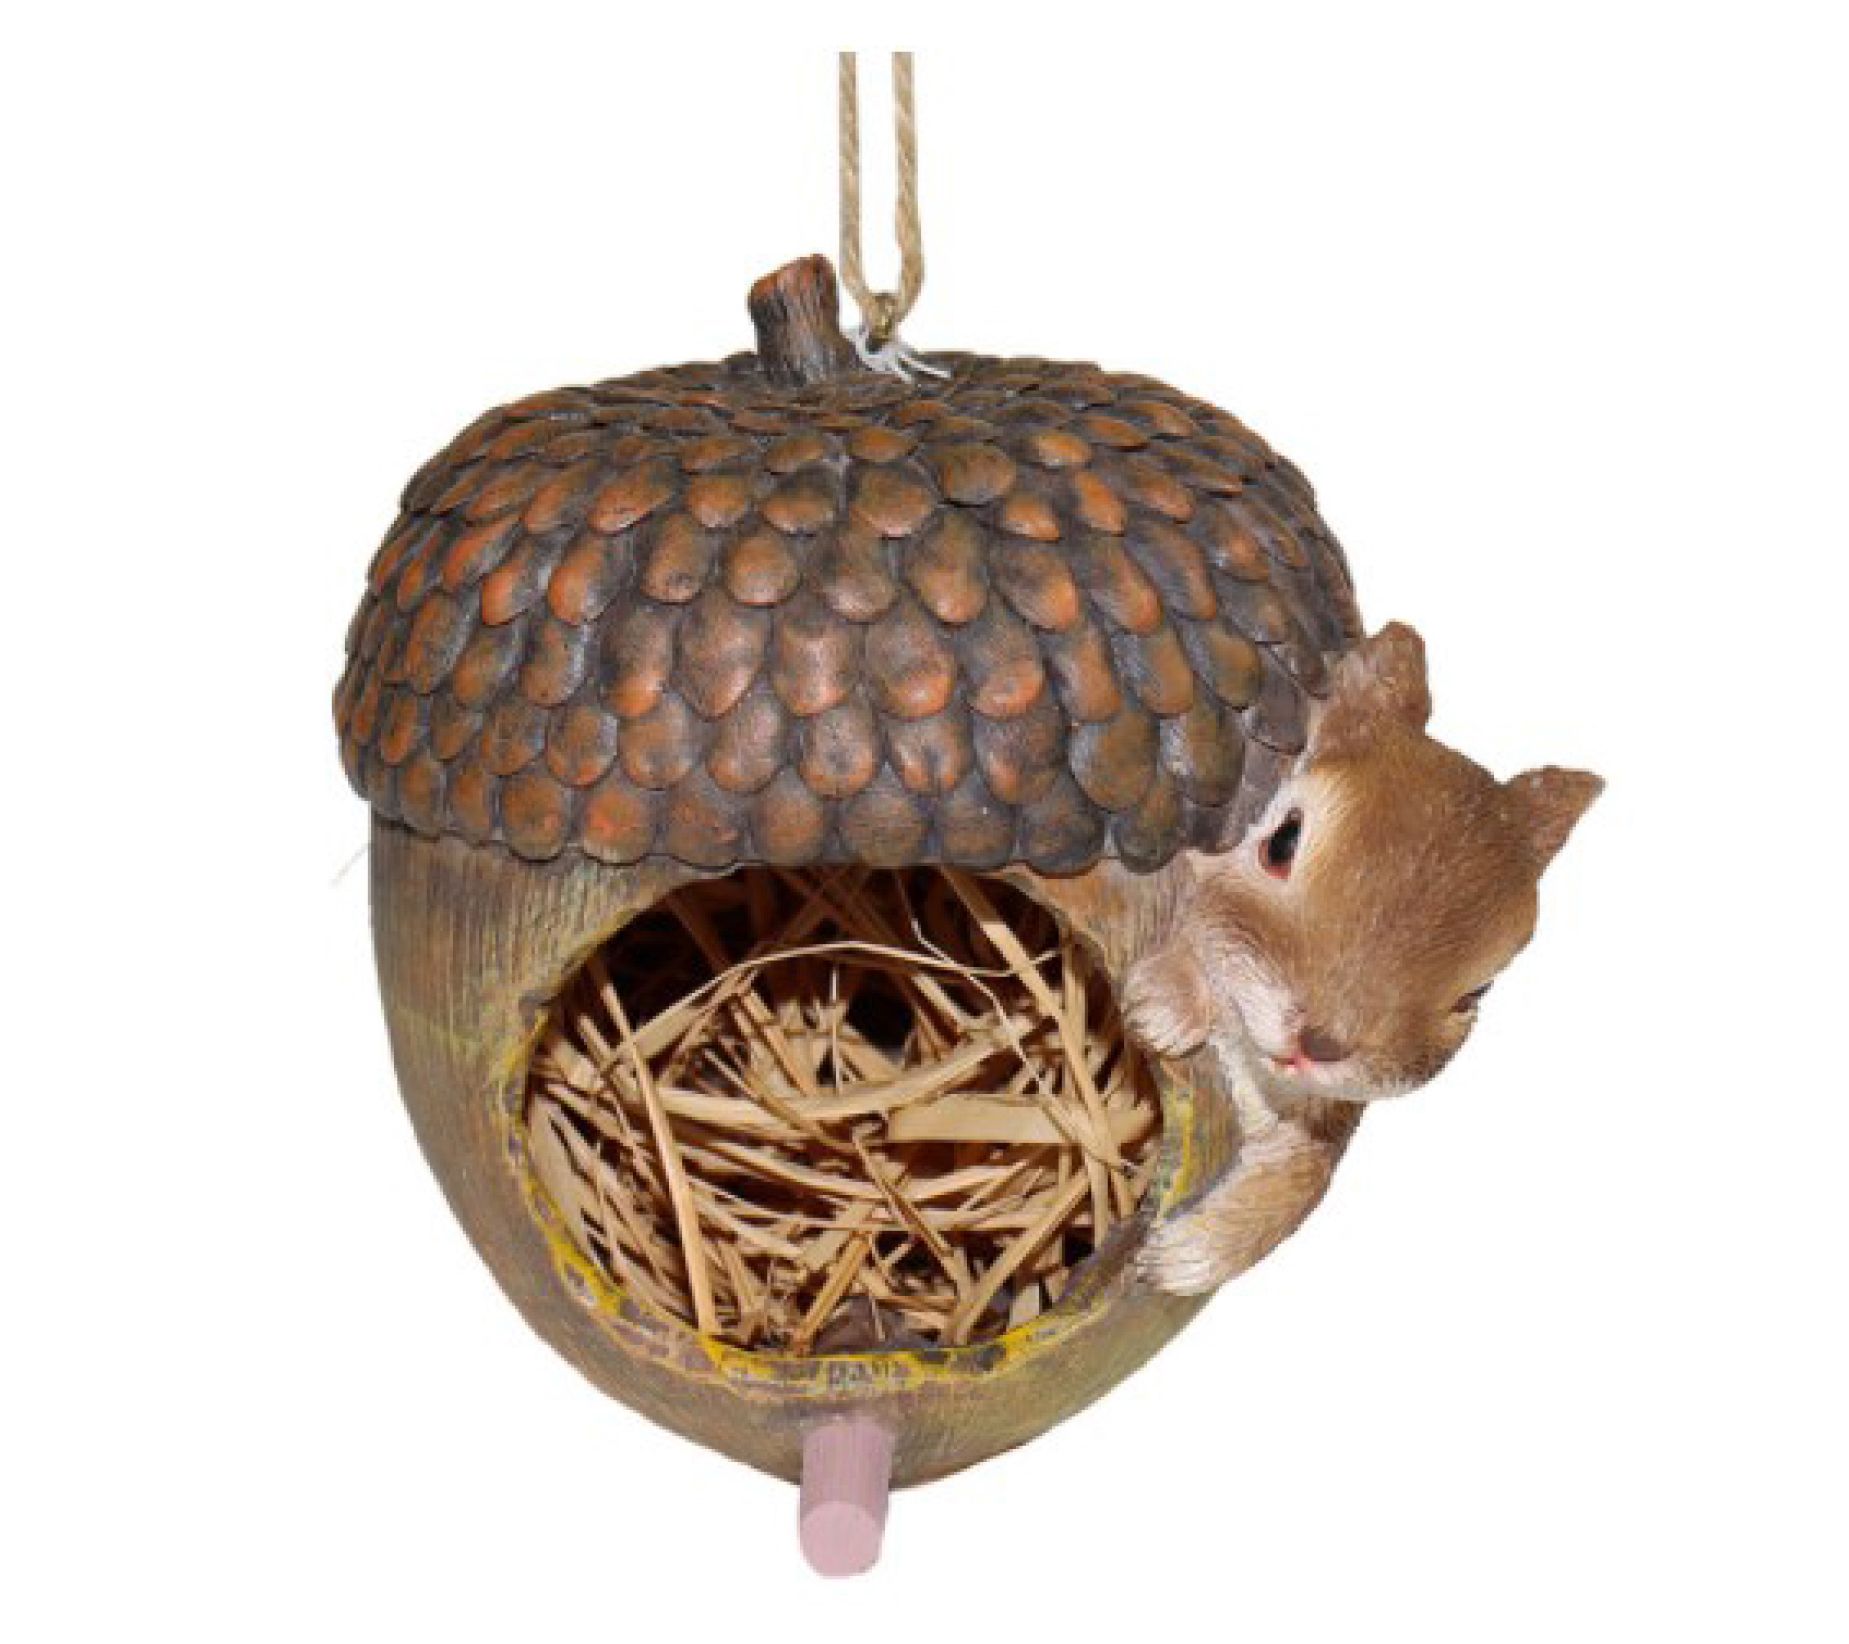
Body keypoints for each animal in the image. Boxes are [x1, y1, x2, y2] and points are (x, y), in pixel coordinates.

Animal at [1123, 622, 1603, 1295]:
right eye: (1281, 842)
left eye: (1475, 992)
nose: (1319, 1043)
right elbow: (1196, 923)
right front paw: (1162, 1008)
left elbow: (1307, 1179)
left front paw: (1185, 1260)